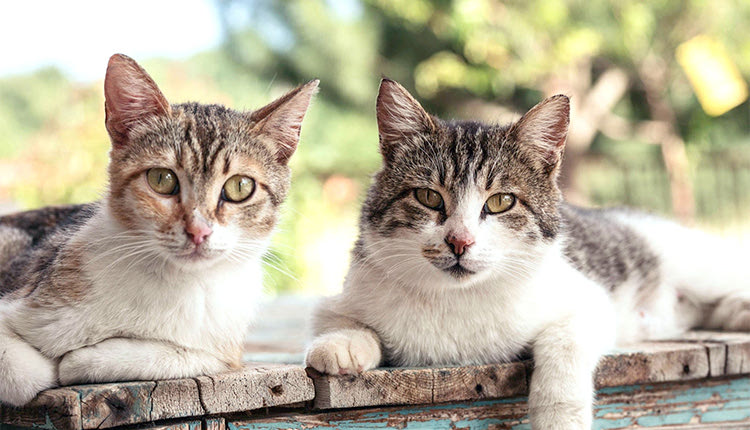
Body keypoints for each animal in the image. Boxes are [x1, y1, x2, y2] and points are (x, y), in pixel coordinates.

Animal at [0, 53, 318, 406]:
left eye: (240, 187)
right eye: (162, 180)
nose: (198, 231)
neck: (173, 283)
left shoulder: (224, 348)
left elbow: (185, 354)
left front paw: (85, 359)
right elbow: (25, 374)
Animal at [306, 79, 750, 428]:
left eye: (501, 202)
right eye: (428, 197)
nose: (459, 241)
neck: (458, 300)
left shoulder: (589, 301)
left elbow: (563, 345)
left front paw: (559, 415)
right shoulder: (346, 291)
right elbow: (340, 320)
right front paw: (342, 344)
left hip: (698, 263)